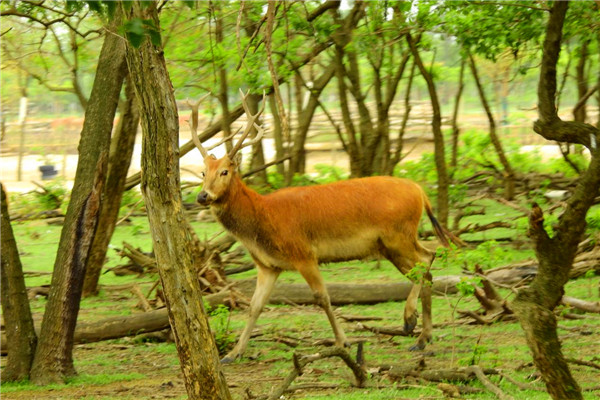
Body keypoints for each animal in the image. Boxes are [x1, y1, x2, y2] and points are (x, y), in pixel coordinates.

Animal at [190, 90, 448, 362]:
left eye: (225, 172)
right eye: (203, 173)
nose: (203, 196)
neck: (262, 220)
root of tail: (420, 191)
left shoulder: (303, 253)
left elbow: (321, 297)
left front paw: (343, 341)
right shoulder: (268, 265)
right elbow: (255, 305)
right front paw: (233, 353)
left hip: (399, 235)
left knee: (426, 259)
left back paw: (409, 320)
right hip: (391, 245)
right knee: (425, 267)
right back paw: (422, 338)